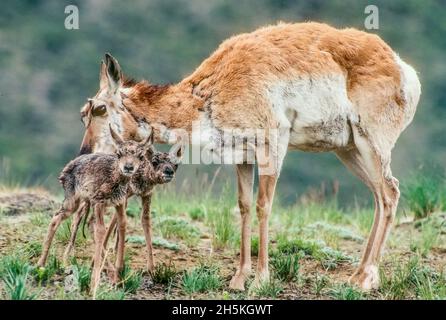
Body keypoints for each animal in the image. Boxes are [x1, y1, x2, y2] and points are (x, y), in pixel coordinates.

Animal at [77, 22, 422, 292]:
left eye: (99, 108)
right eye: (83, 113)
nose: (83, 154)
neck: (207, 94)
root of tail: (401, 66)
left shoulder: (272, 146)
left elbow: (263, 206)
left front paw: (260, 279)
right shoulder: (242, 157)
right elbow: (243, 206)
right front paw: (239, 278)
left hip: (370, 144)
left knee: (389, 192)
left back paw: (366, 278)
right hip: (348, 150)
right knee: (380, 196)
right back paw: (357, 275)